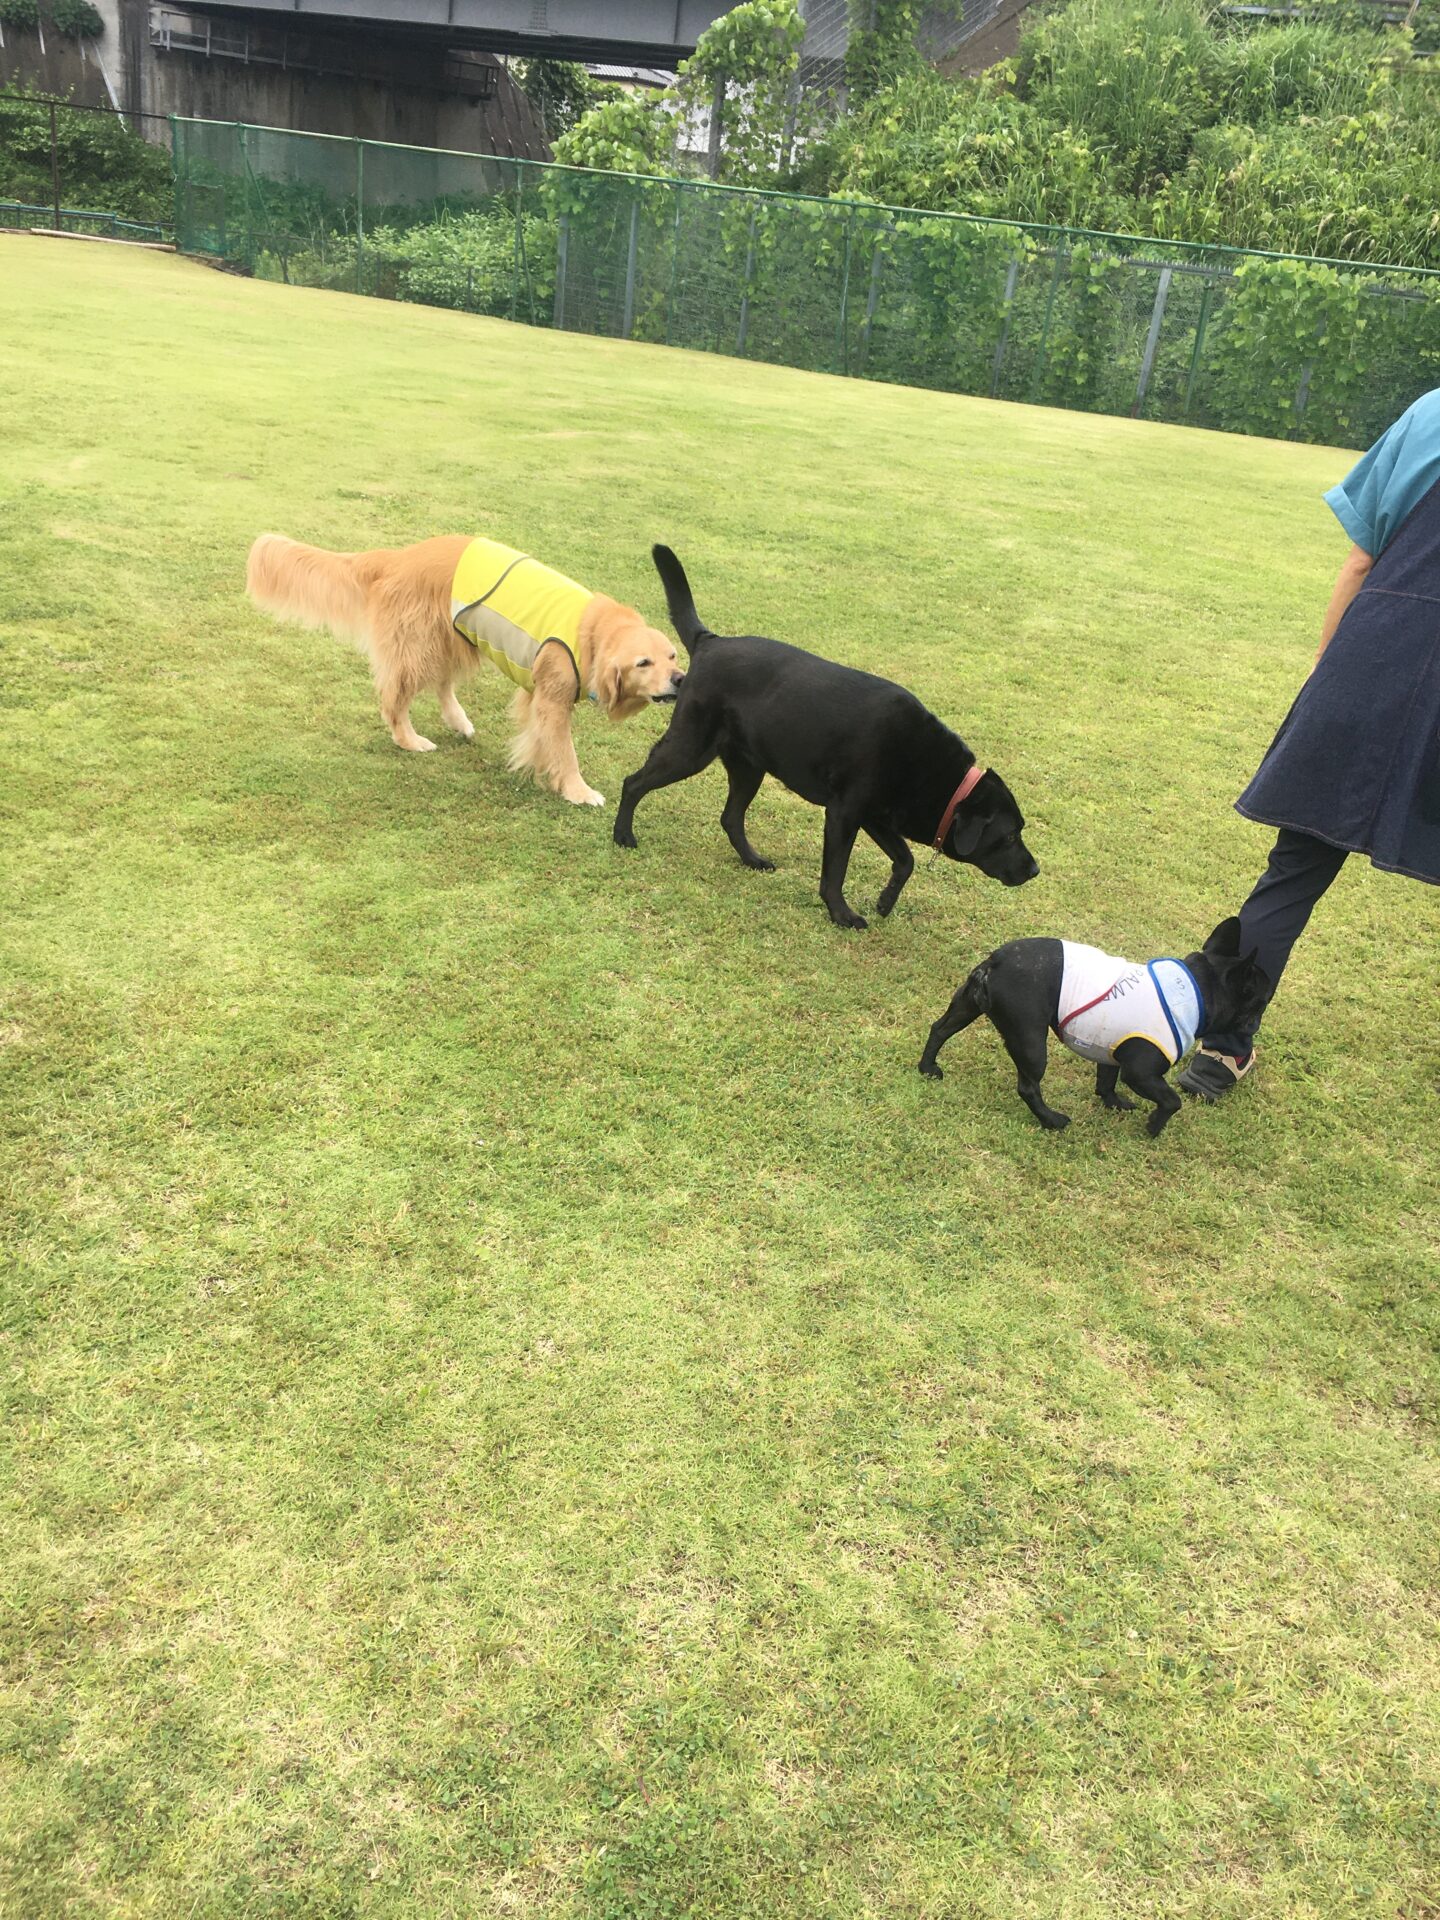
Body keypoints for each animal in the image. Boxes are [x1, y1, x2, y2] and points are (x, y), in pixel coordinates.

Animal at [245, 533, 684, 805]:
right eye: (643, 663)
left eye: (673, 656)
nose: (680, 681)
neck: (592, 634)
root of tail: (400, 555)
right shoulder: (554, 697)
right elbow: (565, 750)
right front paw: (578, 791)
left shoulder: (536, 692)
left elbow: (540, 737)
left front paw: (539, 767)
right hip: (420, 645)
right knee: (394, 698)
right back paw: (410, 740)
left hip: (453, 637)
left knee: (441, 684)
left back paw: (458, 721)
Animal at [612, 546, 1039, 928]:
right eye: (1010, 836)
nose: (1034, 870)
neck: (936, 773)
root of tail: (709, 640)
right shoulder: (844, 813)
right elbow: (835, 872)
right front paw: (842, 914)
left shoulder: (876, 816)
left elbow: (906, 860)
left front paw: (885, 903)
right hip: (690, 750)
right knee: (633, 782)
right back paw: (623, 836)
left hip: (749, 767)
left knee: (730, 817)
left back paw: (752, 859)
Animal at [918, 918, 1270, 1136]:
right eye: (1263, 999)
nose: (1258, 1021)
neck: (1198, 990)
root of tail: (995, 962)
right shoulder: (1141, 1072)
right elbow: (1172, 1100)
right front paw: (1154, 1127)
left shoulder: (1111, 1051)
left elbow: (1106, 1081)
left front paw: (1114, 1104)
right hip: (1031, 1040)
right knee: (1028, 1086)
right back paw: (1052, 1120)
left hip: (966, 1005)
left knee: (940, 1029)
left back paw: (928, 1067)